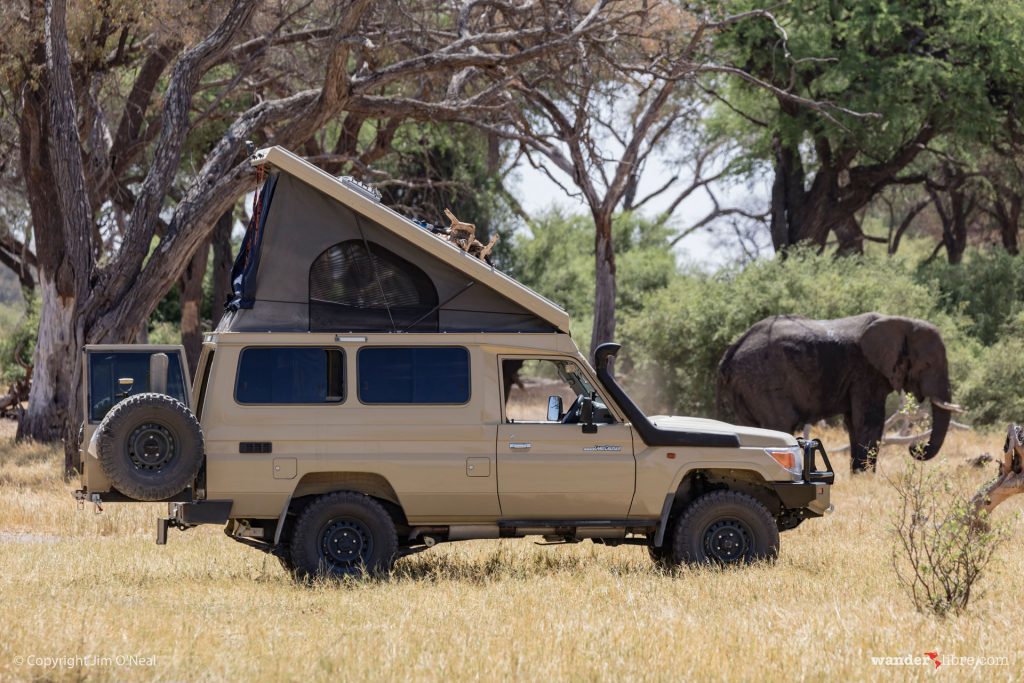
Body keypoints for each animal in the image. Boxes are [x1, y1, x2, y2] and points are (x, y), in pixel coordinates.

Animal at [716, 313, 954, 471]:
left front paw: (858, 475)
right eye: (928, 364)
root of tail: (731, 351)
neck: (901, 322)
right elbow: (869, 420)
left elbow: (854, 422)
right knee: (781, 424)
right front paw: (865, 476)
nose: (915, 448)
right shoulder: (866, 371)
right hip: (762, 380)